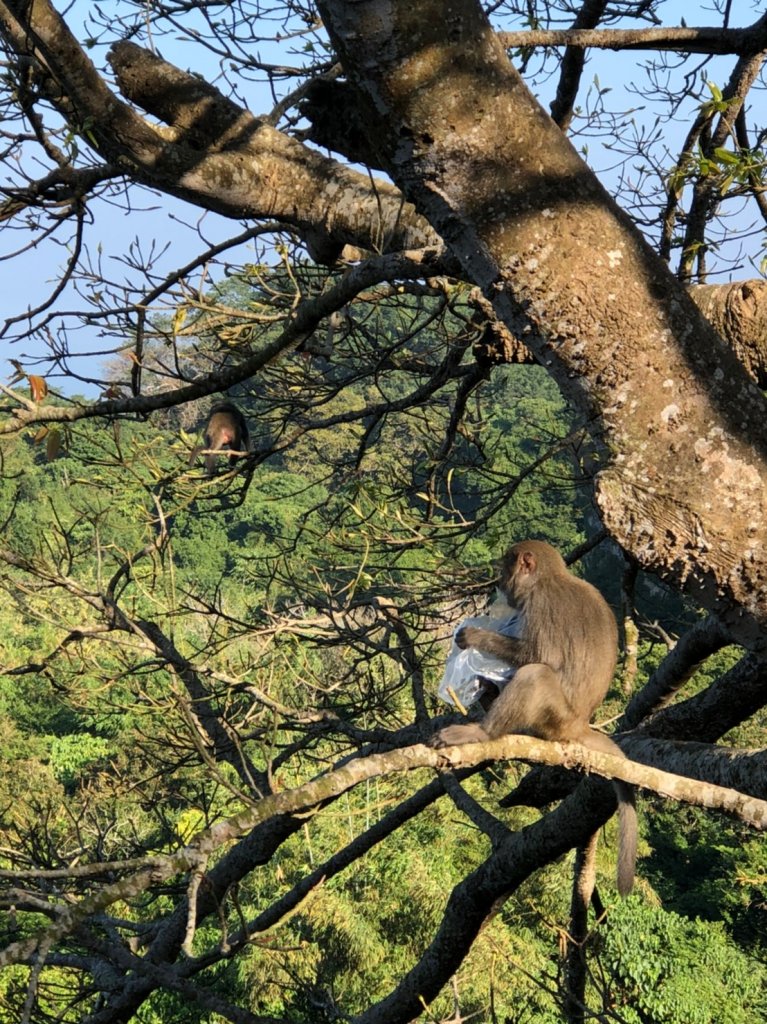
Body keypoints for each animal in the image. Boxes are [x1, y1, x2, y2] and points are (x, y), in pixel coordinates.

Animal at [434, 540, 638, 892]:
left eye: (506, 570)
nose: (500, 585)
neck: (548, 579)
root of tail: (579, 725)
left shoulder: (541, 604)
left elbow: (538, 655)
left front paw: (474, 638)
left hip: (555, 716)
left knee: (536, 675)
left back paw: (484, 732)